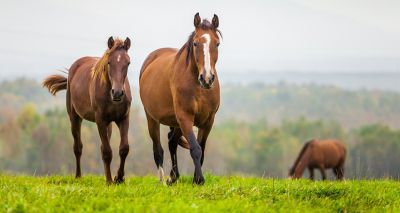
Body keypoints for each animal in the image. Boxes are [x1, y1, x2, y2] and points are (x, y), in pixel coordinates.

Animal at [43, 37, 132, 184]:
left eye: (128, 63)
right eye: (109, 62)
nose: (117, 93)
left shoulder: (123, 118)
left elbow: (124, 148)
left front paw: (119, 178)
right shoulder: (100, 120)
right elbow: (107, 151)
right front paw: (109, 181)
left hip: (108, 124)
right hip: (74, 118)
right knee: (78, 147)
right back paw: (78, 176)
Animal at [139, 12, 222, 185]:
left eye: (217, 44)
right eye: (196, 43)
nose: (207, 78)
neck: (198, 87)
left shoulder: (208, 121)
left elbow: (202, 148)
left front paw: (196, 178)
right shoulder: (185, 117)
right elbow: (195, 148)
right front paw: (199, 179)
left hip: (176, 122)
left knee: (171, 141)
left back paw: (173, 177)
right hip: (152, 118)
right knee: (158, 149)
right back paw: (163, 181)